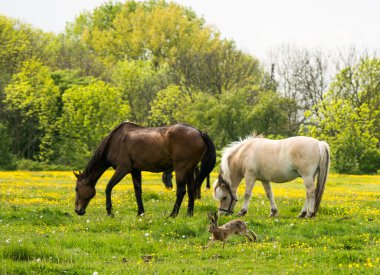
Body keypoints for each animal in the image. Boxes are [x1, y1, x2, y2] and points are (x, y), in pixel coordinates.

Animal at [74, 122, 217, 218]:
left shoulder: (122, 169)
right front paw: (140, 212)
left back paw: (172, 214)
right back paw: (188, 214)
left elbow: (108, 187)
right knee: (191, 190)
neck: (115, 140)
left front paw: (109, 211)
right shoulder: (135, 171)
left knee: (181, 191)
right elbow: (138, 191)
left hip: (181, 169)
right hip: (189, 170)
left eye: (76, 189)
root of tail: (199, 132)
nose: (77, 210)